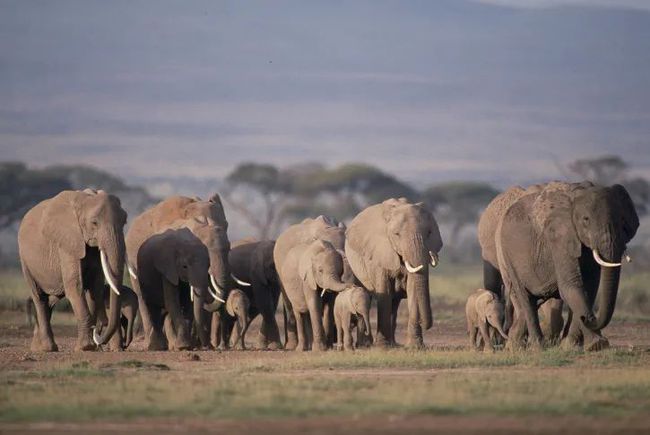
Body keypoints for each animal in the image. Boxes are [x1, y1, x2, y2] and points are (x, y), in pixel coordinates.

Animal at [17, 189, 126, 352]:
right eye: (94, 223)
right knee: (39, 297)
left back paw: (37, 347)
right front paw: (86, 347)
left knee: (53, 299)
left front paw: (92, 346)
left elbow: (95, 288)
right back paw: (48, 348)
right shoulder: (67, 242)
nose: (99, 335)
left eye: (124, 221)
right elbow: (75, 287)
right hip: (26, 261)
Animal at [124, 194, 235, 350]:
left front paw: (195, 345)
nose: (208, 347)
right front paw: (183, 345)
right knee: (143, 299)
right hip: (133, 265)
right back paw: (160, 345)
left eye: (229, 247)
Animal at [270, 216, 346, 352]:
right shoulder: (307, 277)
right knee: (291, 306)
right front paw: (321, 348)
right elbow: (314, 304)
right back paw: (295, 347)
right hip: (280, 271)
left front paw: (327, 347)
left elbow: (329, 306)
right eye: (320, 270)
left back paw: (310, 345)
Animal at [344, 199, 440, 350]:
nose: (426, 325)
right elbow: (384, 291)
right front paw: (382, 347)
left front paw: (415, 346)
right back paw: (366, 344)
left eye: (429, 233)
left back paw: (393, 343)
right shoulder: (379, 252)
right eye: (396, 234)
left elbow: (413, 289)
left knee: (394, 303)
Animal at [476, 181, 636, 350]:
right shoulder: (559, 238)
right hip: (502, 253)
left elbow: (589, 286)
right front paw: (595, 344)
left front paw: (575, 344)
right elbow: (570, 286)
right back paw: (533, 346)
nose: (587, 318)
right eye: (585, 219)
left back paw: (517, 343)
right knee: (521, 296)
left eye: (623, 220)